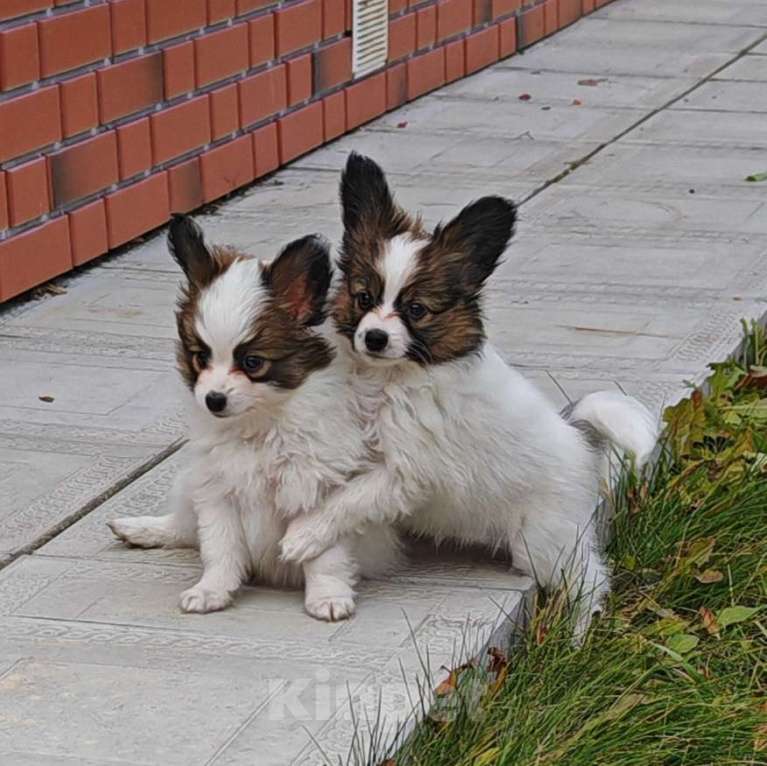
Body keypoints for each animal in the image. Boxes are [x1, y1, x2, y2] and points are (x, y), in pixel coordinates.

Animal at [112, 213, 402, 620]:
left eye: (252, 363)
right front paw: (211, 590)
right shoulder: (217, 491)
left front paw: (327, 596)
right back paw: (142, 529)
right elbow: (219, 548)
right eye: (200, 357)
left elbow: (322, 551)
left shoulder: (316, 489)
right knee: (186, 527)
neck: (261, 424)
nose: (213, 400)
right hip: (190, 482)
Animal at [282, 153, 660, 640]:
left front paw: (304, 536)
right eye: (363, 298)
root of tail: (578, 437)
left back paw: (577, 633)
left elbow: (351, 498)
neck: (390, 378)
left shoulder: (409, 471)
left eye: (417, 309)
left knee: (590, 577)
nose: (375, 338)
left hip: (542, 539)